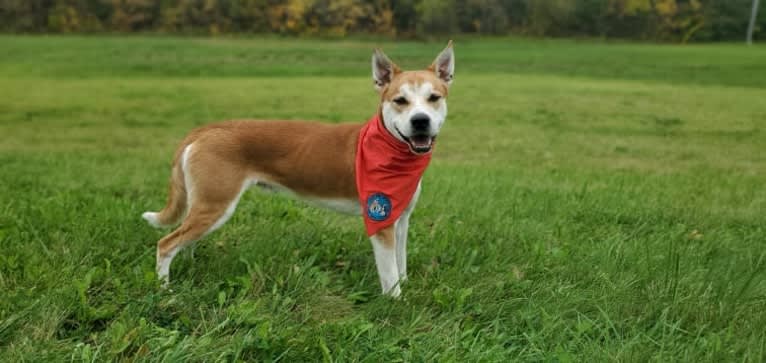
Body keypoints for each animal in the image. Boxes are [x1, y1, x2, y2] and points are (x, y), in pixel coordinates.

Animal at [144, 42, 456, 298]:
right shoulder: (381, 221)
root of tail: (205, 130)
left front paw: (407, 286)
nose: (420, 121)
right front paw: (397, 303)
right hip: (215, 206)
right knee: (166, 244)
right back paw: (165, 289)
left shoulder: (400, 219)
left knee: (184, 241)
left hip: (206, 207)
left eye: (434, 97)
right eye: (400, 101)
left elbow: (400, 265)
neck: (390, 146)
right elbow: (390, 277)